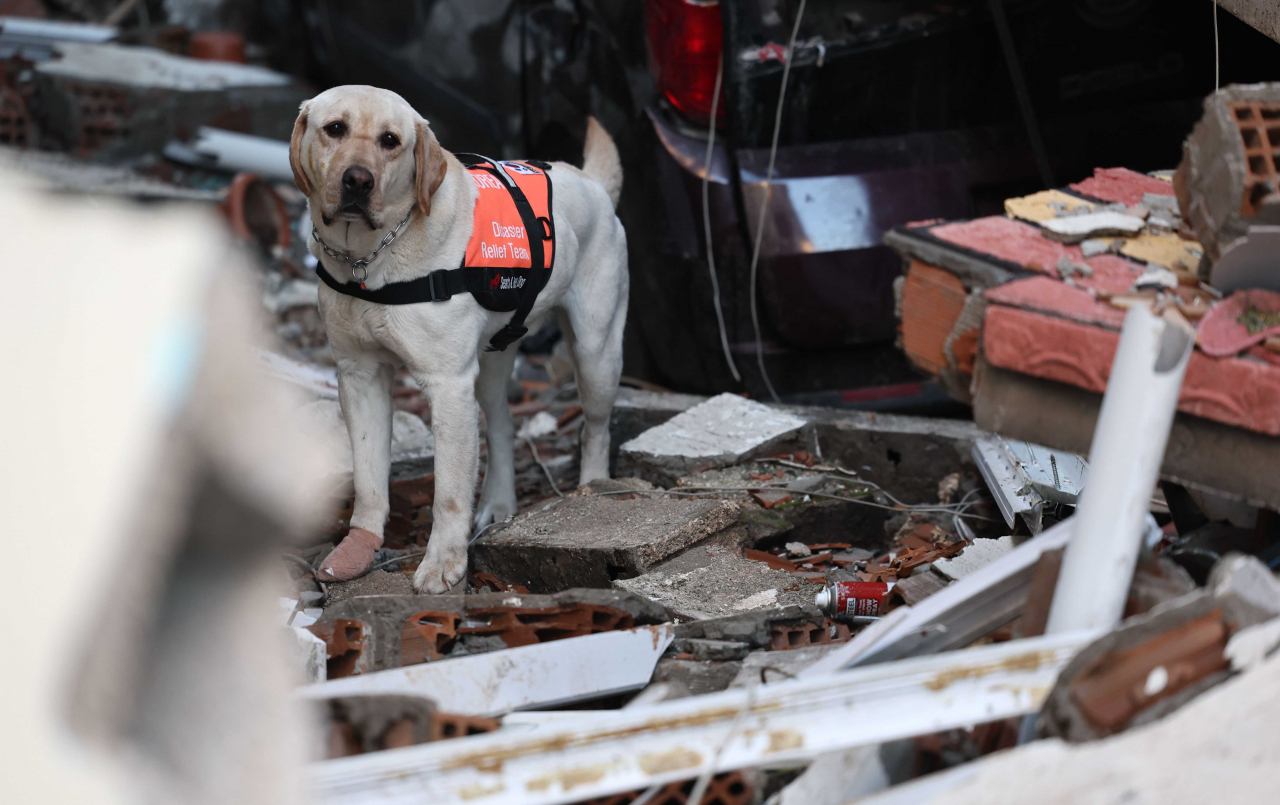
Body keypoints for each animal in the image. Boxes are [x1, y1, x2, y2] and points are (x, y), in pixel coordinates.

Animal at [291, 86, 629, 591]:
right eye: (335, 129)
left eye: (390, 140)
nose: (357, 181)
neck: (370, 258)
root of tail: (590, 182)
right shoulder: (359, 375)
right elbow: (368, 477)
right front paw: (358, 548)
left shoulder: (448, 385)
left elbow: (449, 490)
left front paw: (443, 563)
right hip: (492, 359)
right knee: (503, 424)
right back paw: (501, 501)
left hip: (596, 352)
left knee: (596, 429)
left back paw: (589, 490)